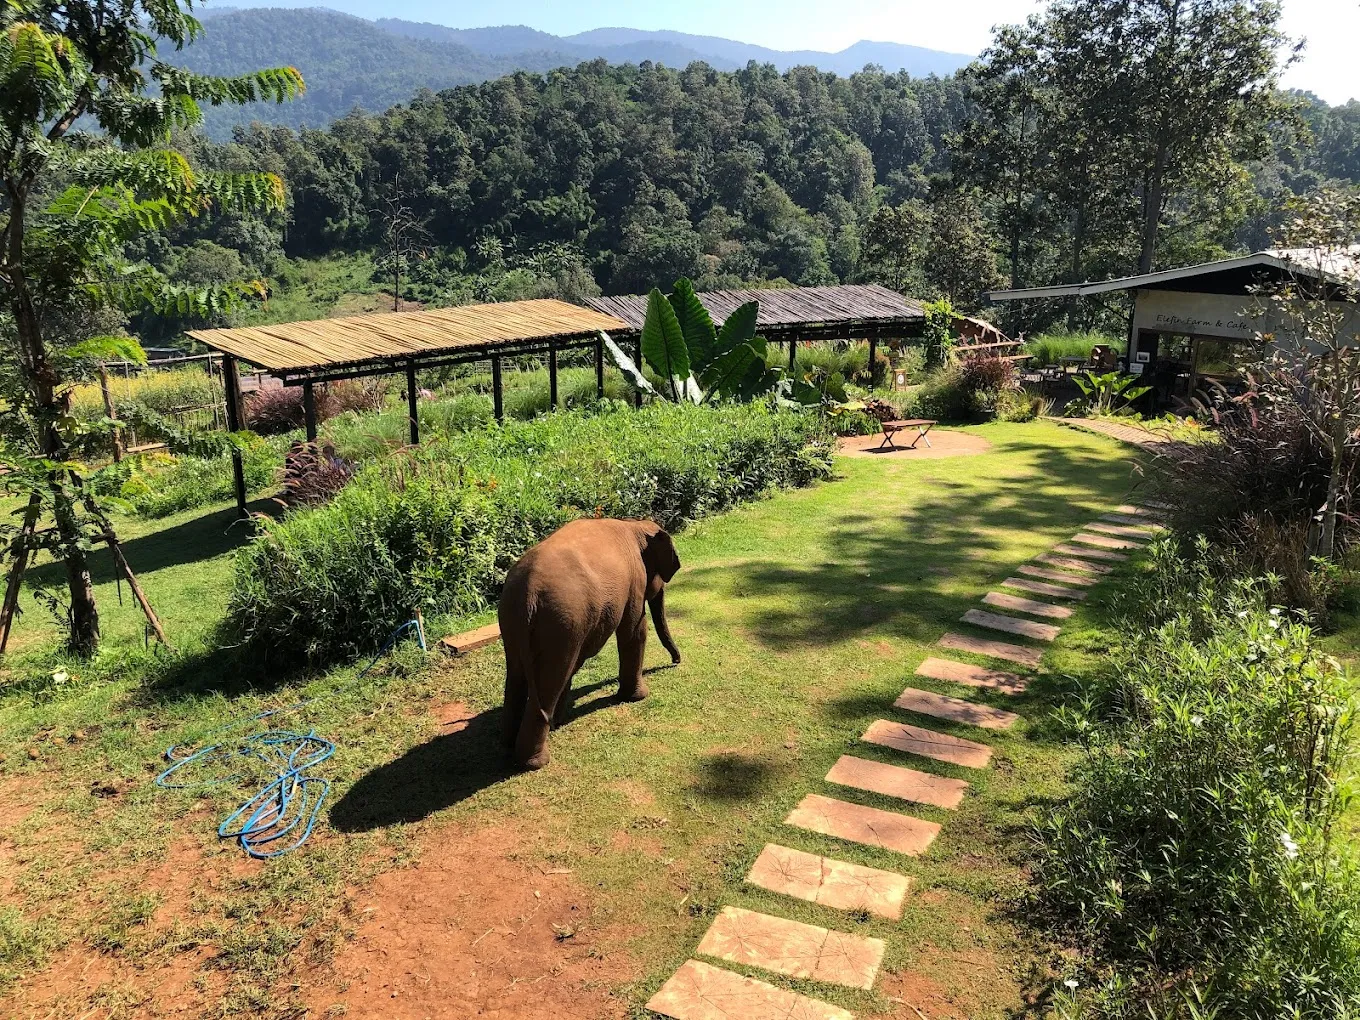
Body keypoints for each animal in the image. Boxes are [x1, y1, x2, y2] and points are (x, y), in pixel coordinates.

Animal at [498, 518, 682, 770]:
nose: (676, 661)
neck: (634, 525)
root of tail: (526, 595)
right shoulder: (635, 579)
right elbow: (635, 631)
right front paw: (639, 697)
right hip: (561, 624)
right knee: (551, 681)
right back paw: (536, 761)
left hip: (512, 623)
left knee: (517, 677)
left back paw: (510, 743)